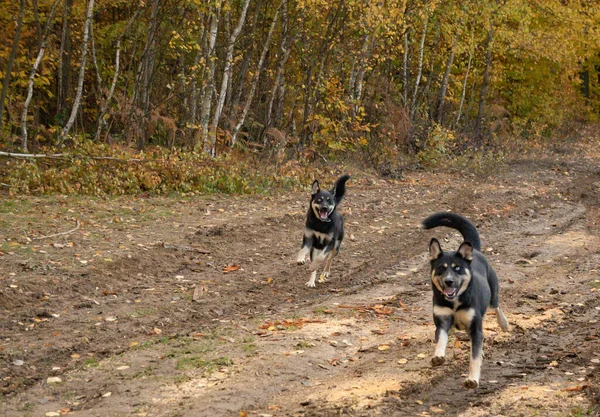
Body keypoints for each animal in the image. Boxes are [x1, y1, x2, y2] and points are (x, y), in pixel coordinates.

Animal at [420, 213, 508, 388]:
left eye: (457, 268)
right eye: (440, 268)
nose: (449, 282)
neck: (455, 303)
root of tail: (475, 251)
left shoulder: (475, 326)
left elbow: (474, 358)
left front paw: (472, 378)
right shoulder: (442, 321)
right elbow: (441, 340)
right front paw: (438, 356)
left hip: (493, 292)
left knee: (497, 306)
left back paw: (503, 323)